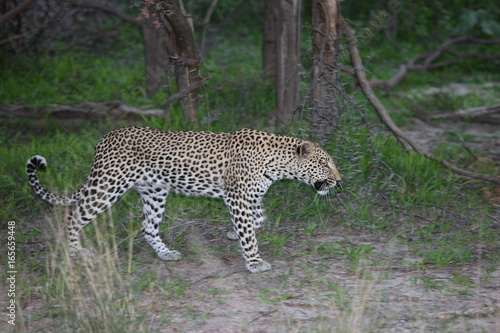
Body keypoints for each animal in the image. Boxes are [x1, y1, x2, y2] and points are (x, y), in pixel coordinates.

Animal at [26, 126, 340, 272]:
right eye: (325, 164)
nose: (339, 181)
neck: (277, 164)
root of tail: (106, 138)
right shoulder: (237, 198)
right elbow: (250, 232)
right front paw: (253, 262)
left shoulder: (248, 198)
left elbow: (258, 219)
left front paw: (232, 234)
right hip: (108, 185)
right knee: (73, 214)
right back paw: (75, 251)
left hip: (155, 192)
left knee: (148, 227)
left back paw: (166, 254)